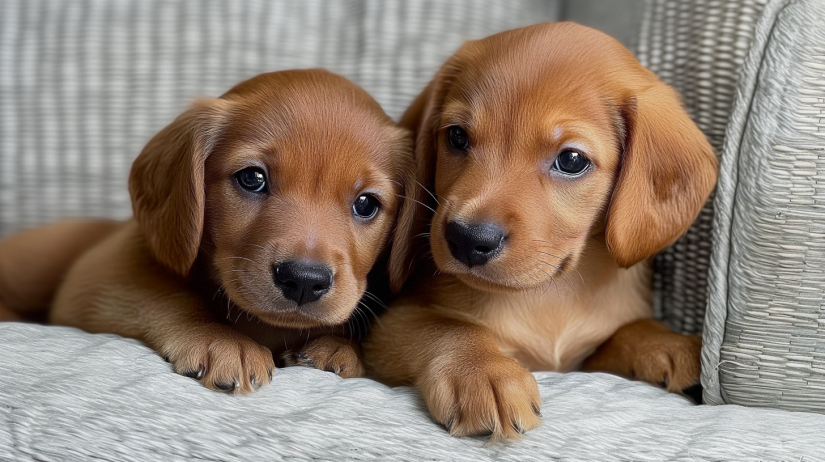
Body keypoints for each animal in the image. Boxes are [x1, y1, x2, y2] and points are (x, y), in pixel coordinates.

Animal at [0, 69, 412, 394]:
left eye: (366, 204)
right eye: (252, 178)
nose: (304, 279)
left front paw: (340, 347)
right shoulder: (100, 274)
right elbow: (170, 297)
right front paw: (220, 339)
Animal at [364, 23, 716, 442]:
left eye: (572, 160)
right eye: (457, 137)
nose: (467, 239)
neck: (549, 296)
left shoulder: (585, 358)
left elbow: (625, 331)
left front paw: (666, 342)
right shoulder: (390, 325)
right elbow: (448, 327)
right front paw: (484, 370)